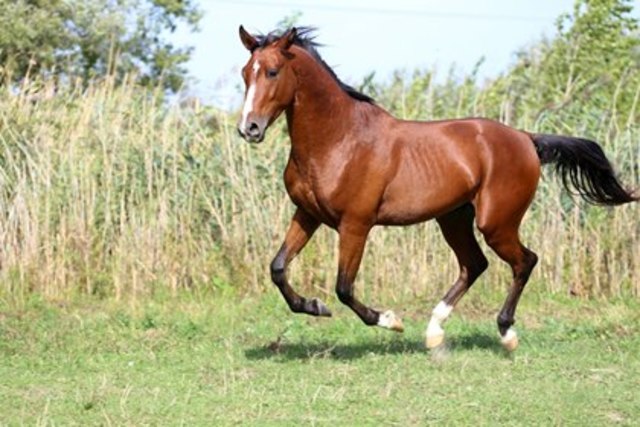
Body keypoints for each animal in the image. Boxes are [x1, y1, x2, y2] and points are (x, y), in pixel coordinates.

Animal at [236, 26, 637, 351]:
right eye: (245, 73)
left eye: (272, 71)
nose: (249, 128)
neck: (339, 140)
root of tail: (526, 138)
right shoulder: (308, 214)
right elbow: (278, 267)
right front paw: (313, 306)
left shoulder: (356, 224)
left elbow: (344, 288)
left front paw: (391, 320)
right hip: (454, 219)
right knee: (475, 264)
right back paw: (434, 332)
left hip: (496, 223)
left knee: (525, 260)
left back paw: (506, 333)